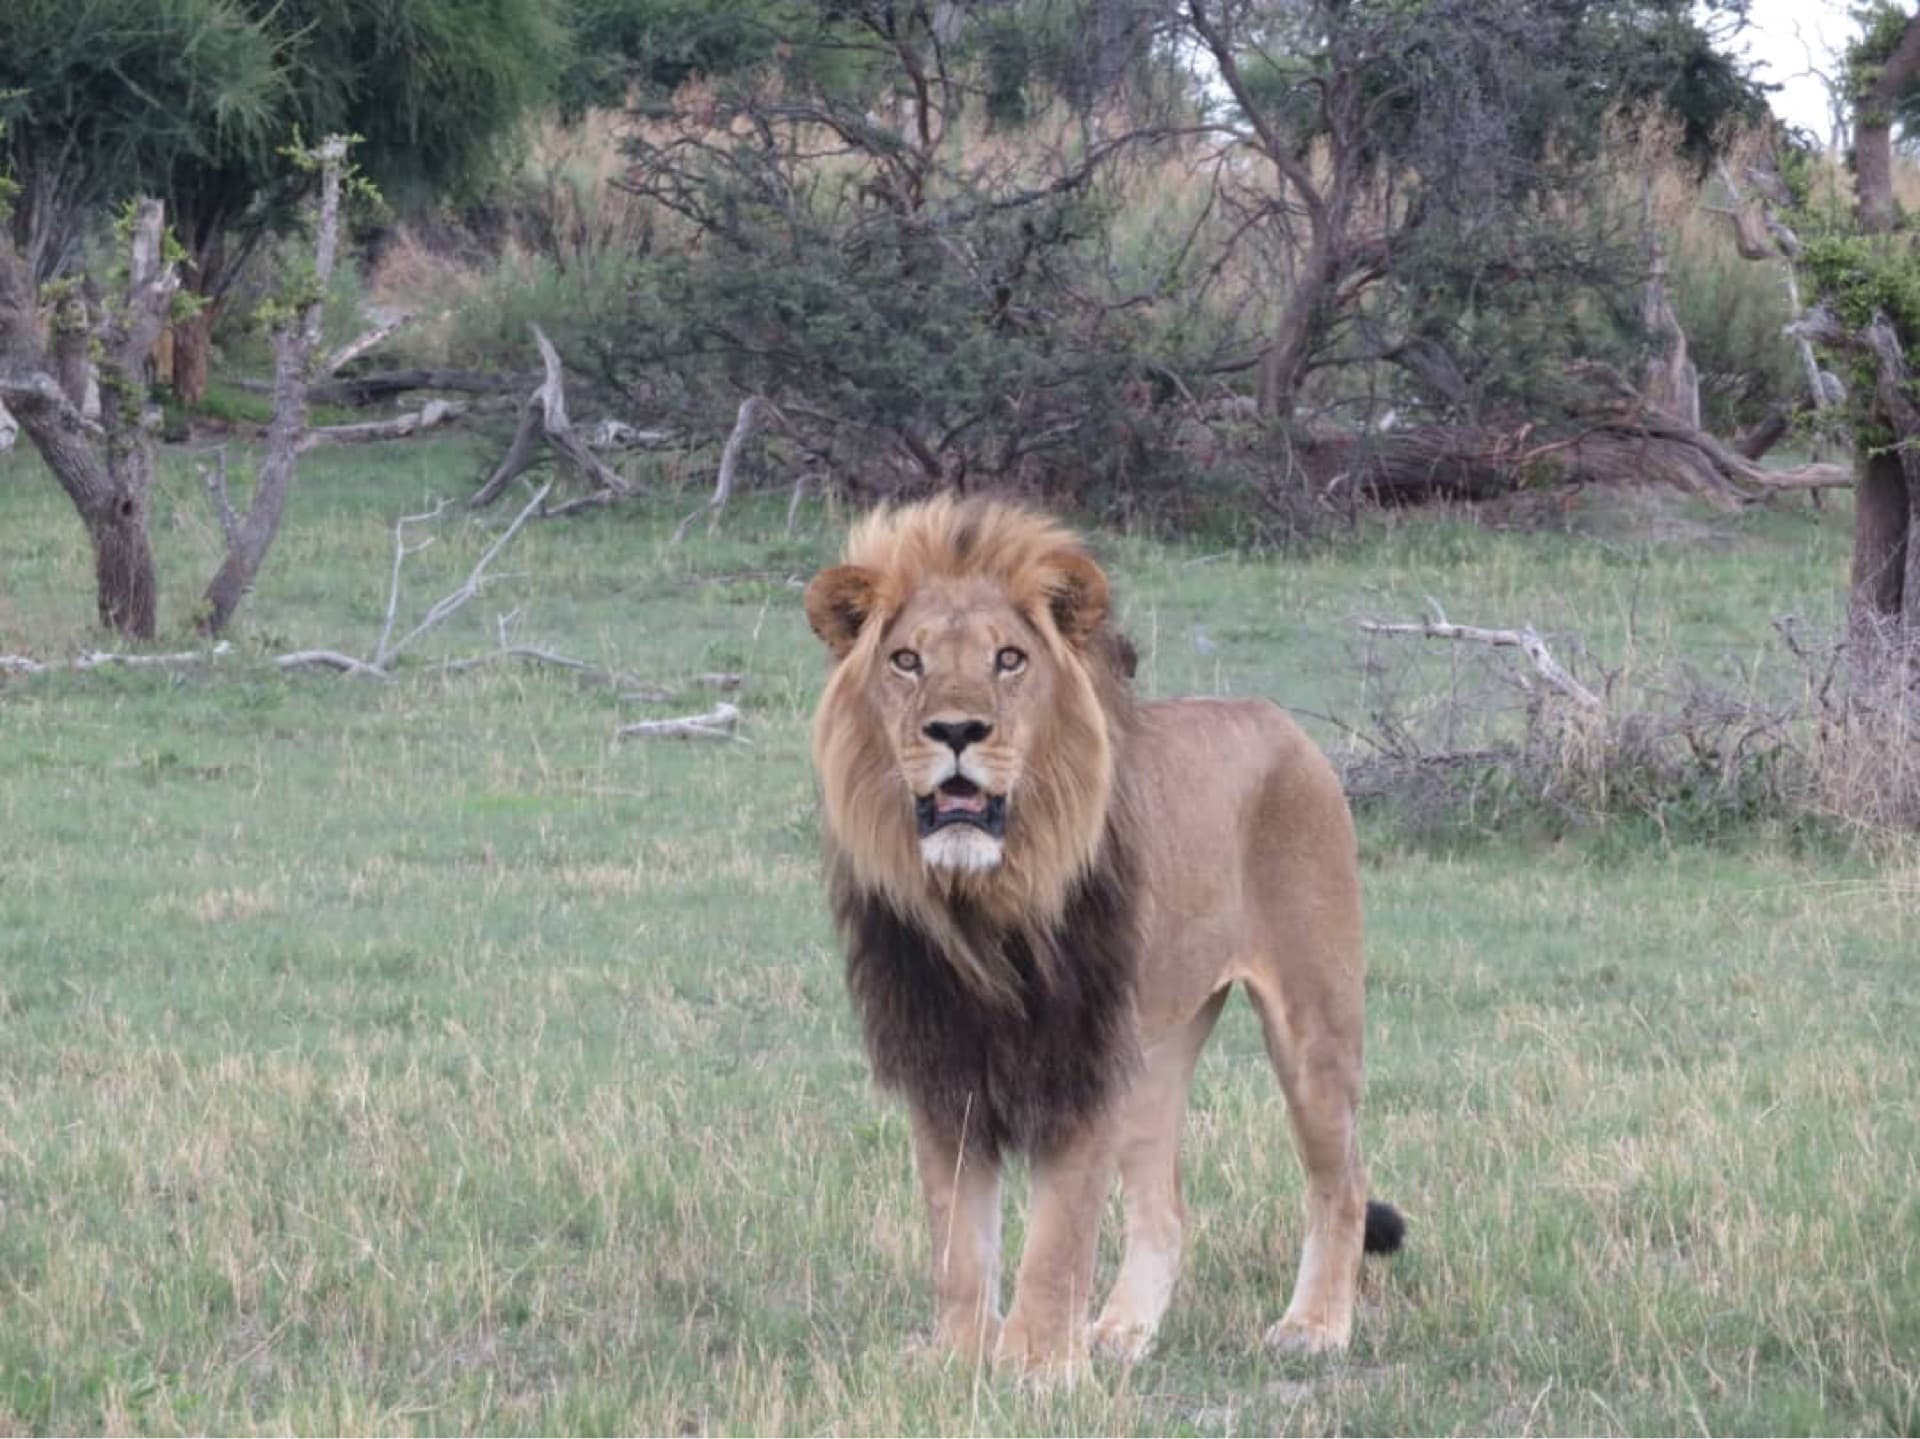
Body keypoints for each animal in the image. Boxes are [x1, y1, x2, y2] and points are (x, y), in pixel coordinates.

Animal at [804, 497, 1402, 1377]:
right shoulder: (943, 1061)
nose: (957, 729)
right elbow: (957, 1238)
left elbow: (1057, 1235)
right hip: (1155, 1050)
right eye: (907, 660)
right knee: (1166, 1207)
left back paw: (1315, 1327)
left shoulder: (1081, 1058)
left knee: (1344, 1180)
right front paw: (959, 1357)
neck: (985, 903)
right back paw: (1122, 1332)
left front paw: (1034, 1367)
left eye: (1010, 659)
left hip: (1314, 1025)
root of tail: (1275, 718)